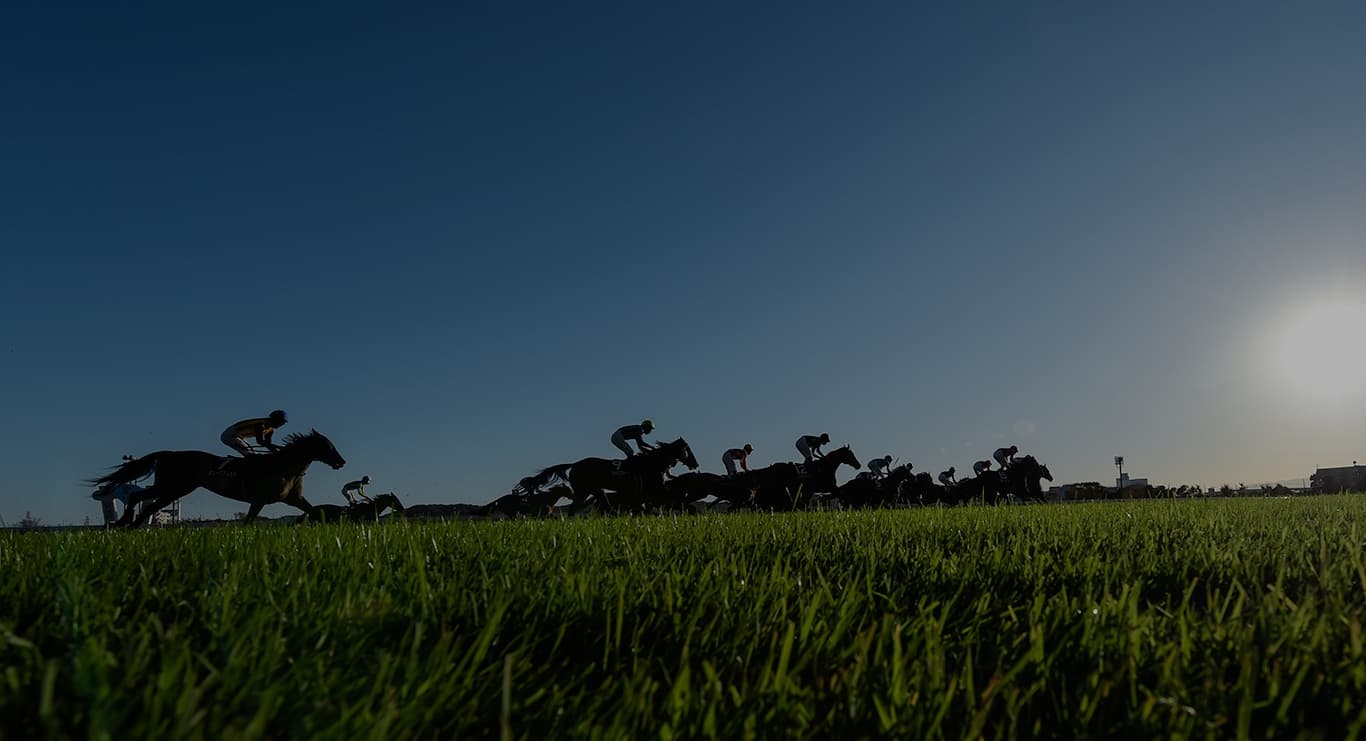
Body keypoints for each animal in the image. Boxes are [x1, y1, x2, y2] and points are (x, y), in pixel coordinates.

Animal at [89, 429, 346, 527]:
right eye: (328, 447)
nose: (341, 462)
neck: (284, 467)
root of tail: (168, 454)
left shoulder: (293, 499)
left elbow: (314, 510)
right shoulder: (259, 499)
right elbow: (248, 520)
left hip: (175, 489)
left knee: (146, 504)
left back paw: (130, 525)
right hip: (173, 487)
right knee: (139, 498)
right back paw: (123, 523)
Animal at [519, 437, 699, 514]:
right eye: (688, 449)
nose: (695, 464)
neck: (652, 462)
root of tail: (575, 464)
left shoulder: (646, 494)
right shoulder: (656, 490)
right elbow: (673, 499)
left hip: (591, 491)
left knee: (584, 507)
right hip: (589, 489)